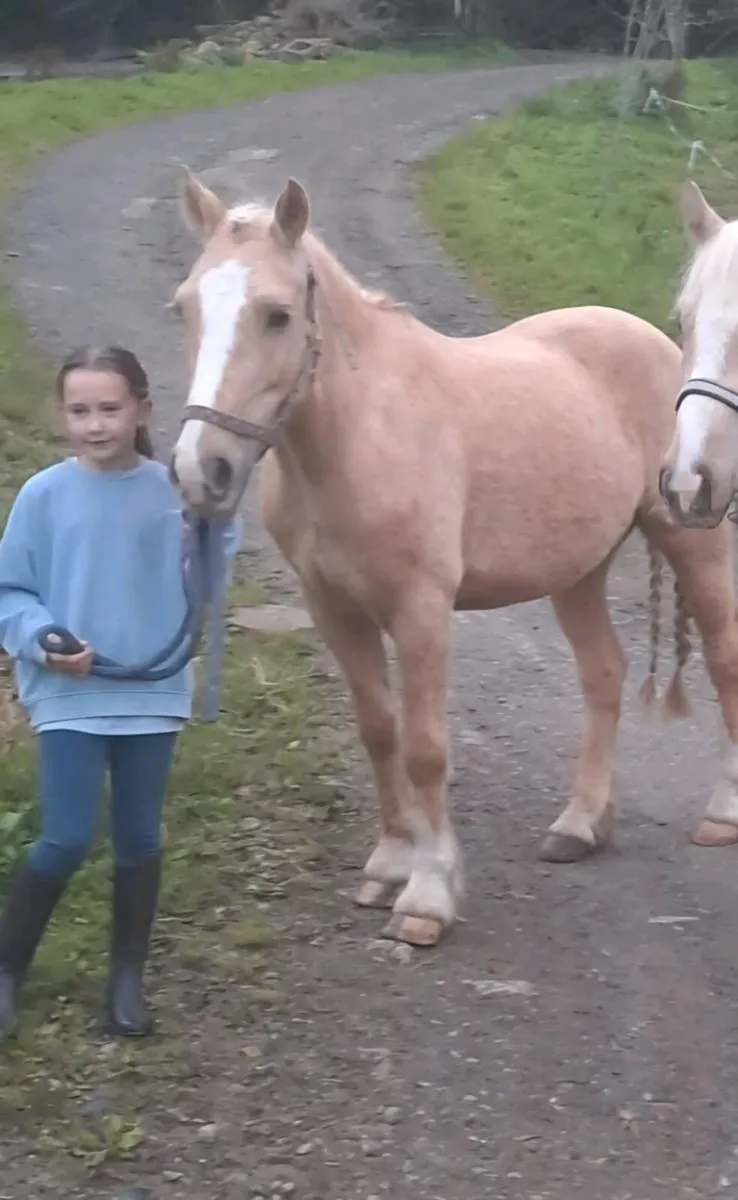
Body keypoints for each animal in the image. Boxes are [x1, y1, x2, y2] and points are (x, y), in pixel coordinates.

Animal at [169, 170, 738, 948]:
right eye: (185, 307)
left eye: (278, 315)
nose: (203, 472)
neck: (361, 434)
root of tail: (652, 339)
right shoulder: (332, 608)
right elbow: (378, 731)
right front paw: (388, 864)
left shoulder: (422, 611)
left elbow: (424, 747)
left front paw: (428, 894)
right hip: (577, 571)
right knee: (604, 674)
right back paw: (581, 825)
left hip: (691, 535)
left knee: (724, 658)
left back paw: (721, 812)